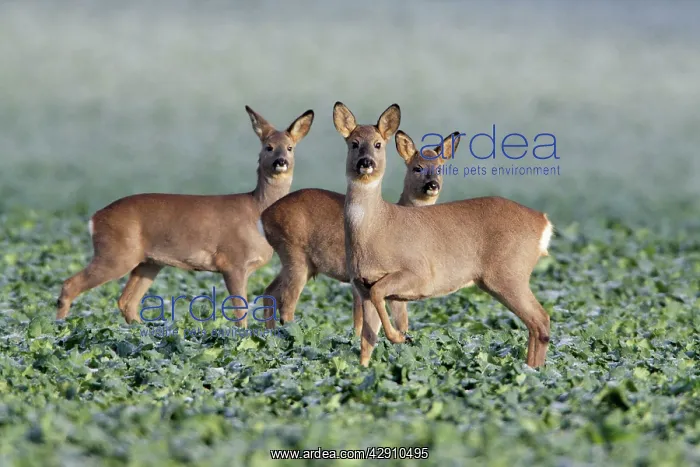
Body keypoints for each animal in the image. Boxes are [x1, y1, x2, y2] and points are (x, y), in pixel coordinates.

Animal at [55, 106, 315, 327]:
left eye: (290, 147)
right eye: (268, 147)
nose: (281, 162)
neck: (256, 210)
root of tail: (95, 218)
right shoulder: (233, 262)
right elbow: (240, 311)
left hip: (148, 262)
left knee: (126, 301)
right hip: (115, 252)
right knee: (70, 285)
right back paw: (60, 329)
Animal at [258, 129, 462, 336]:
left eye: (440, 168)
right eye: (417, 168)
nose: (432, 185)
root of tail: (264, 216)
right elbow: (363, 321)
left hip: (300, 263)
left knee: (269, 292)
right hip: (294, 255)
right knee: (287, 305)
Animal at [332, 102, 554, 368]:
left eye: (377, 144)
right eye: (353, 143)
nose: (366, 163)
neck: (376, 227)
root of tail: (542, 221)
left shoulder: (418, 272)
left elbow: (380, 304)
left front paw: (400, 337)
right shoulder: (361, 285)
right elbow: (367, 340)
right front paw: (361, 370)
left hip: (509, 273)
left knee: (541, 320)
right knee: (535, 324)